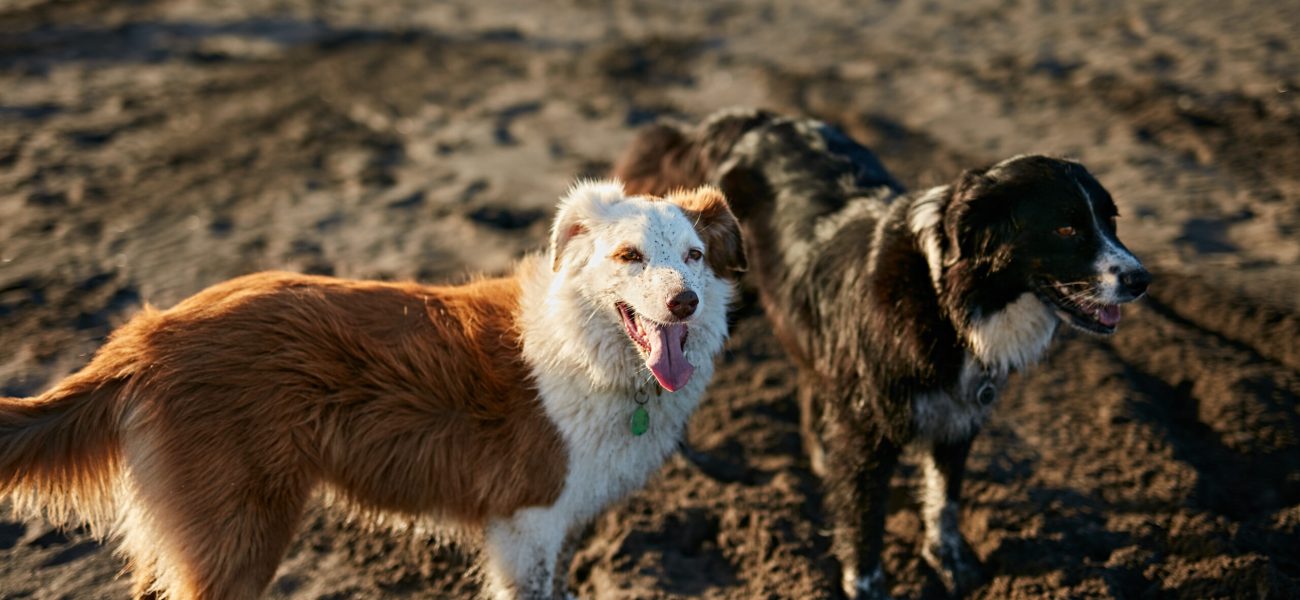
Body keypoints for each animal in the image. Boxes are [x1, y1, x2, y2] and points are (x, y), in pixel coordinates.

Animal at [0, 181, 748, 600]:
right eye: (628, 257)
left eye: (694, 256)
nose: (683, 303)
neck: (582, 343)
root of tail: (148, 335)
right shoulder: (527, 523)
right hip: (239, 536)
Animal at [613, 110, 1154, 597]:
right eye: (1066, 229)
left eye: (1111, 221)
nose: (1142, 279)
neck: (945, 299)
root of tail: (716, 126)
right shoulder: (870, 427)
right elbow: (866, 519)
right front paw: (868, 585)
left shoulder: (957, 416)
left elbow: (944, 500)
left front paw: (953, 564)